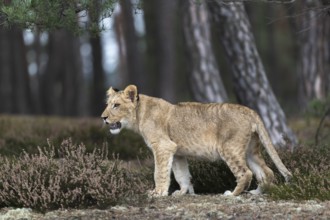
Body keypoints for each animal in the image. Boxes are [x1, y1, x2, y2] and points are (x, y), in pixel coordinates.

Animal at [100, 85, 292, 197]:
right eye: (108, 104)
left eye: (116, 105)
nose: (103, 117)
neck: (139, 115)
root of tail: (250, 111)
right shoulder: (176, 152)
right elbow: (181, 174)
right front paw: (182, 192)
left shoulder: (163, 147)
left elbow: (159, 172)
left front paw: (158, 192)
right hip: (250, 150)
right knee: (267, 172)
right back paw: (257, 192)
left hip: (229, 148)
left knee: (246, 173)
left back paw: (232, 194)